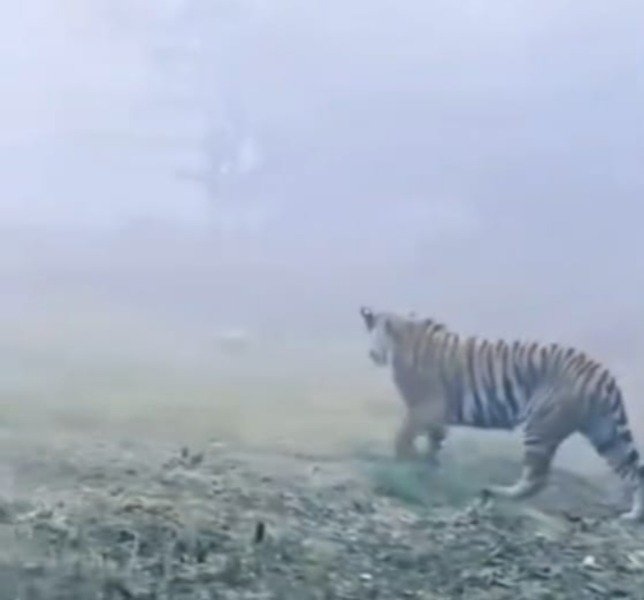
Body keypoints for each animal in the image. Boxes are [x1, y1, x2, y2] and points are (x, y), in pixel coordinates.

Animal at [358, 306, 644, 521]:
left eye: (376, 332)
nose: (372, 354)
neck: (401, 339)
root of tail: (602, 373)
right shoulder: (434, 416)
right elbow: (432, 443)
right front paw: (427, 467)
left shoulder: (426, 407)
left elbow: (403, 437)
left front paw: (406, 465)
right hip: (605, 432)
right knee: (633, 471)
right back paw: (633, 516)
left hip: (541, 424)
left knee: (536, 479)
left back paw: (495, 492)